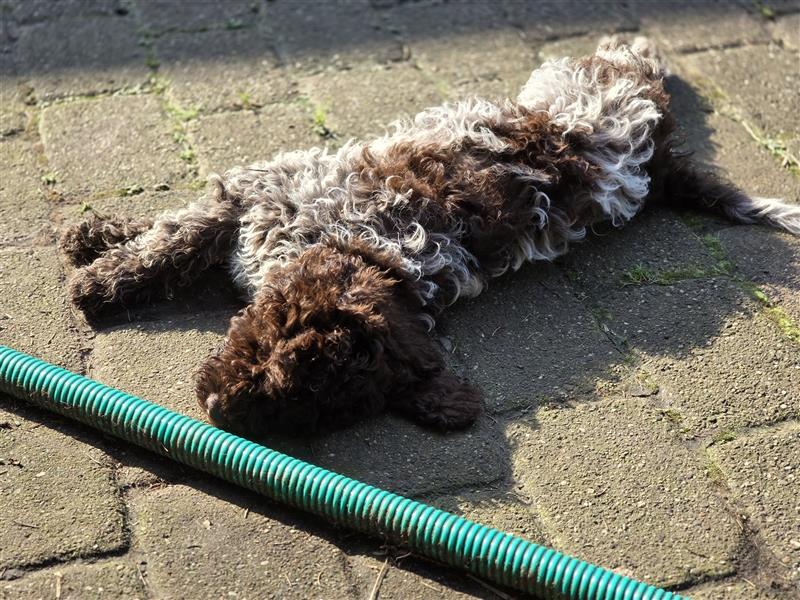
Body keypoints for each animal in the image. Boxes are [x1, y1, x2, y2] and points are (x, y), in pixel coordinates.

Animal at [61, 37, 800, 438]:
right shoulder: (256, 191)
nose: (218, 411)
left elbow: (175, 236)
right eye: (279, 345)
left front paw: (96, 269)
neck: (369, 252)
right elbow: (168, 236)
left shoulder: (257, 200)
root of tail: (659, 155)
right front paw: (96, 251)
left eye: (315, 408)